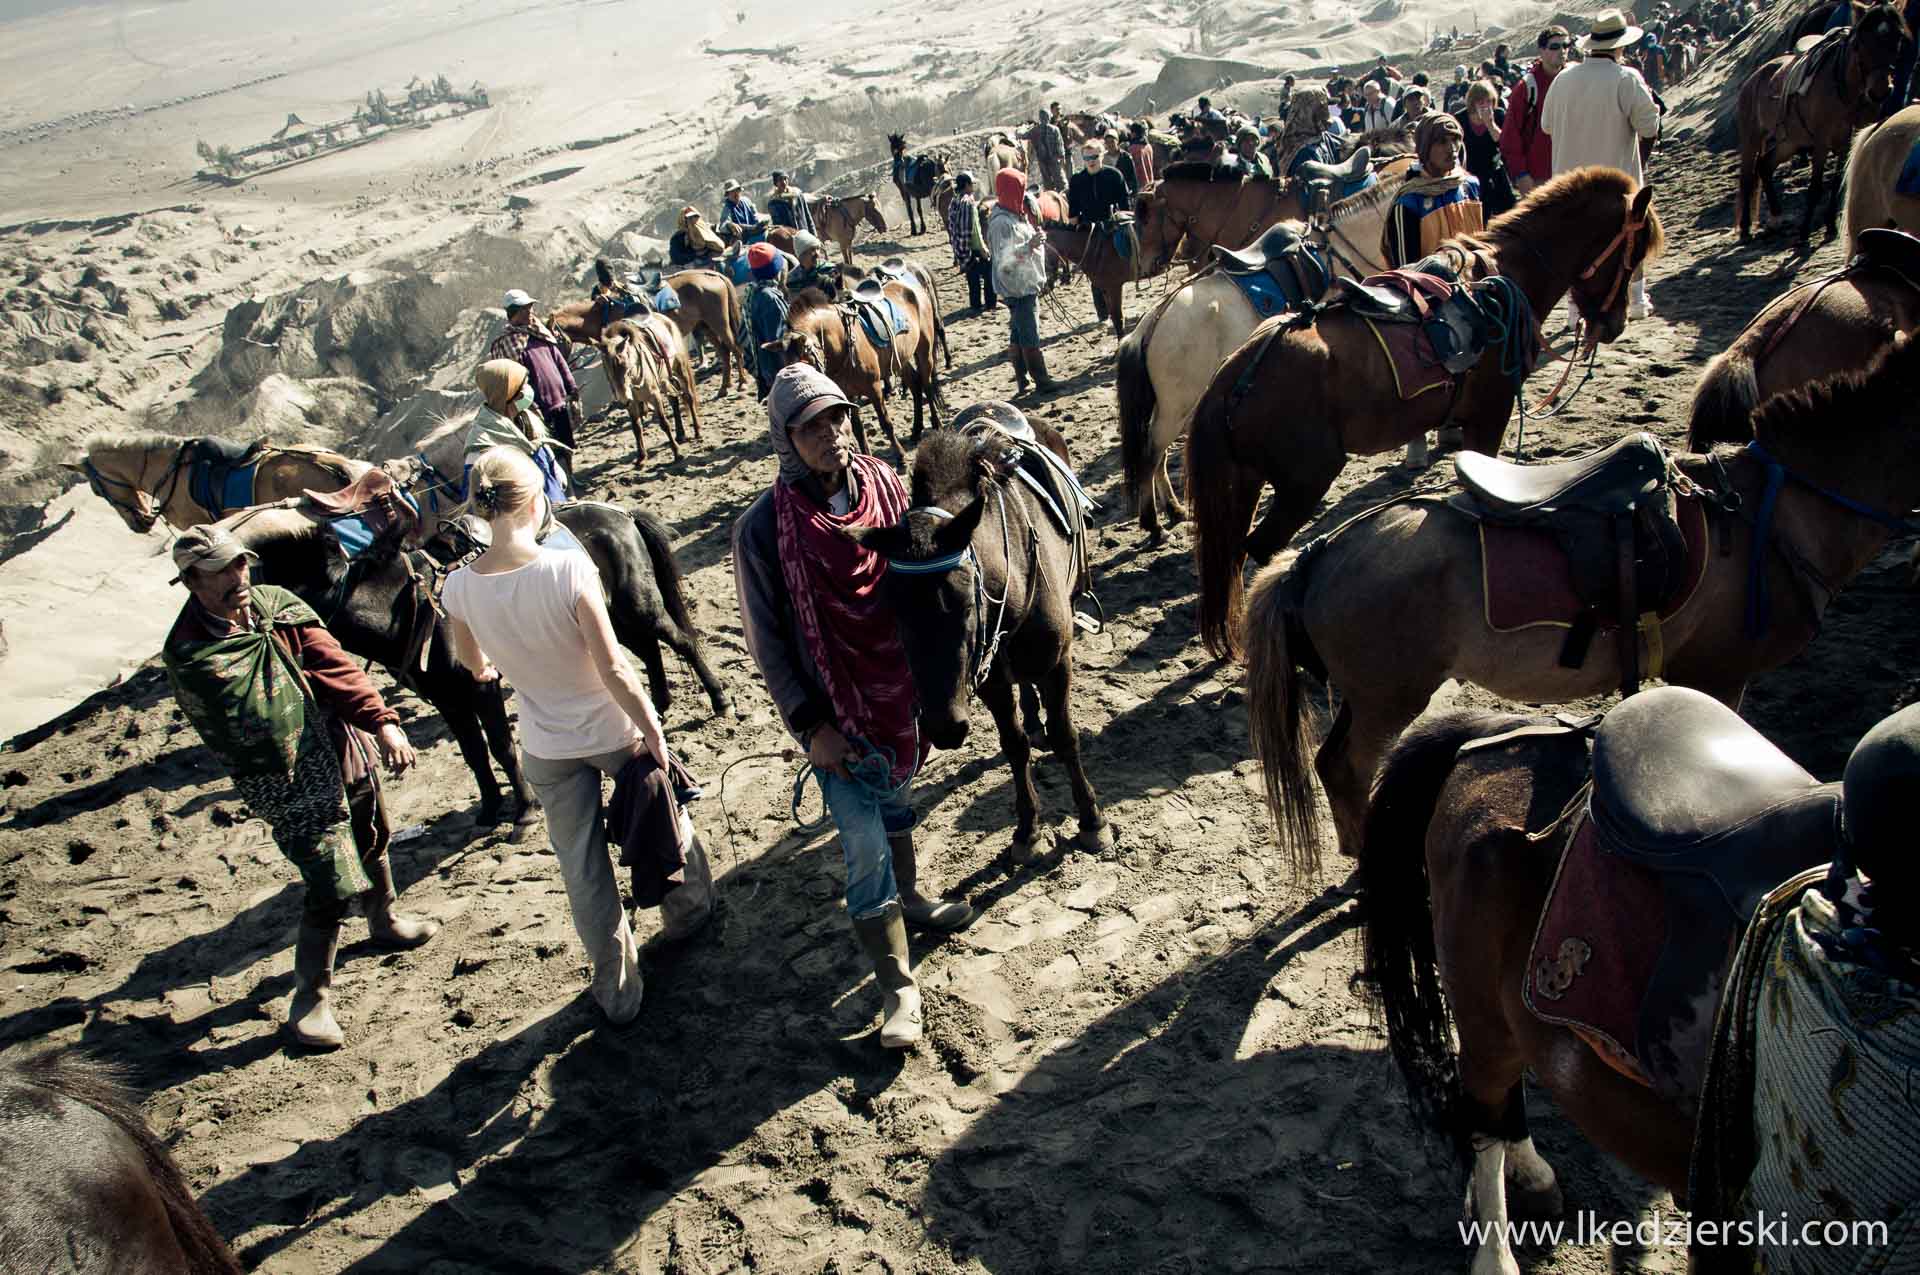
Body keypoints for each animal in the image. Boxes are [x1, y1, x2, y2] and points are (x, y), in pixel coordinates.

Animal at [660, 270, 748, 401]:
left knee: (735, 350)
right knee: (725, 352)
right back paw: (724, 388)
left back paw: (742, 383)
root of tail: (713, 274)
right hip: (706, 327)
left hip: (719, 324)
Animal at [1182, 168, 1666, 656]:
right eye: (1632, 255)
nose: (1614, 324)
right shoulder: (1490, 413)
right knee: (1264, 551)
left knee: (1235, 553)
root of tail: (1234, 373)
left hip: (1247, 482)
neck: (1500, 277)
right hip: (1305, 481)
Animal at [1236, 334, 1920, 860]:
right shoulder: (1719, 676)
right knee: (1347, 770)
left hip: (1367, 697)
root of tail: (1315, 555)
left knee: (1332, 764)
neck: (1767, 514)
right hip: (1390, 699)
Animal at [1743, 1, 1904, 241]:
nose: (1879, 91)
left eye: (1898, 37)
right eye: (1860, 43)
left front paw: (1830, 226)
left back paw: (1777, 217)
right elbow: (1816, 187)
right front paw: (1804, 232)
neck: (1846, 93)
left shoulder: (1849, 141)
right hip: (1755, 137)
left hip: (1789, 141)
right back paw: (1749, 226)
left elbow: (1840, 183)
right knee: (1749, 174)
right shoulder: (1821, 142)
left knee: (1764, 165)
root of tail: (1758, 73)